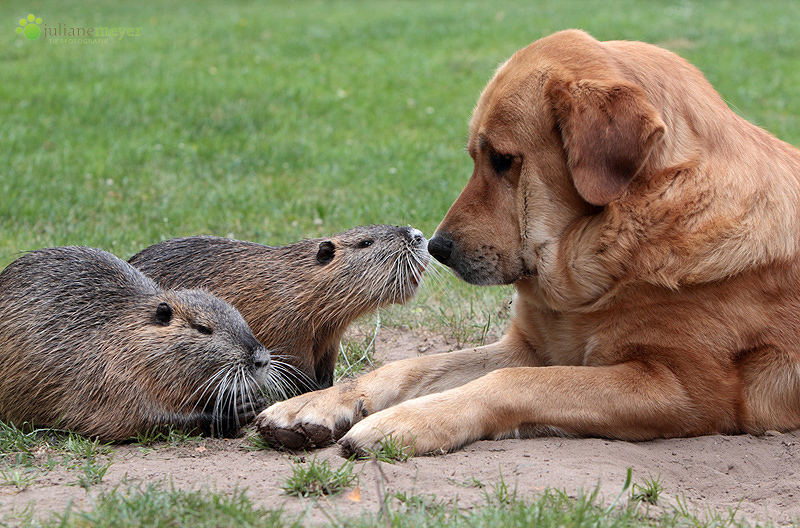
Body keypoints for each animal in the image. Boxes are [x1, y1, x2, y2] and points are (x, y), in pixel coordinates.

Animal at [255, 31, 800, 456]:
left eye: (503, 160)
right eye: (475, 157)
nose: (435, 247)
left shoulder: (682, 387)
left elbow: (511, 382)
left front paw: (406, 421)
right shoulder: (529, 347)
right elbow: (411, 366)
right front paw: (318, 402)